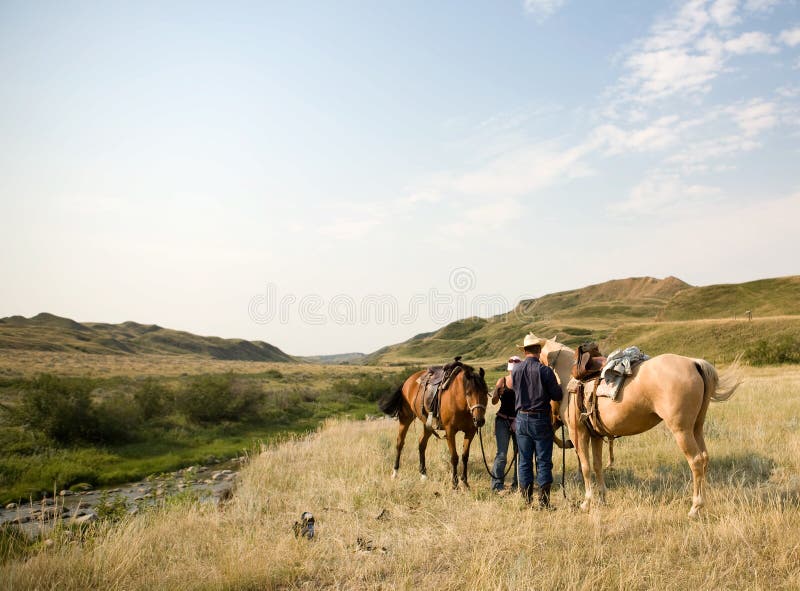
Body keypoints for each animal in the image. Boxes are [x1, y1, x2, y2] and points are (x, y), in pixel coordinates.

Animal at [540, 338, 740, 520]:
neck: (567, 378)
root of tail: (694, 363)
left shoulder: (578, 433)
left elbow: (586, 467)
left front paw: (586, 502)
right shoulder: (595, 435)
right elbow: (597, 466)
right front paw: (602, 498)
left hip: (682, 430)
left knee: (696, 461)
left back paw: (695, 508)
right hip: (696, 427)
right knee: (704, 458)